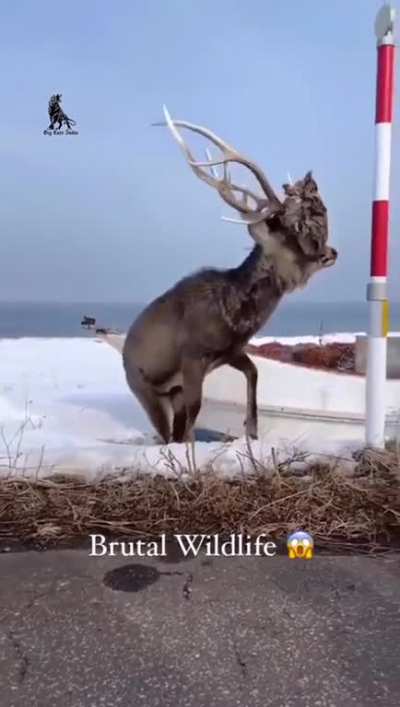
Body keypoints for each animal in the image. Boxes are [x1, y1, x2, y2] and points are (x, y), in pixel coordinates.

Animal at [122, 106, 337, 444]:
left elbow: (254, 373)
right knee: (166, 430)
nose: (330, 253)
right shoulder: (192, 357)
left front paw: (252, 430)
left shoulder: (231, 352)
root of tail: (125, 352)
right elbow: (194, 414)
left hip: (169, 391)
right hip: (144, 388)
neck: (234, 317)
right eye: (294, 231)